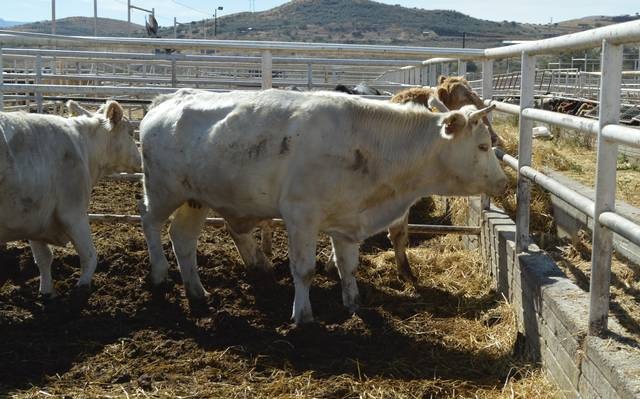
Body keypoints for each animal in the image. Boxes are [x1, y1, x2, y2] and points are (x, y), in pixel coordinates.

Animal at [0, 101, 141, 298]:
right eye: (130, 132)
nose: (140, 159)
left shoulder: (34, 218)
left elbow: (43, 258)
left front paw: (46, 292)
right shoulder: (73, 213)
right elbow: (89, 255)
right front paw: (81, 288)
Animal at [140, 89, 504, 324]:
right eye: (483, 145)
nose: (502, 182)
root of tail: (167, 100)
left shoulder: (348, 220)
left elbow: (348, 267)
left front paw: (353, 304)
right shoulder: (300, 216)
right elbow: (304, 269)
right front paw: (303, 316)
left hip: (195, 198)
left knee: (182, 238)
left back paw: (197, 292)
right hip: (161, 190)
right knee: (149, 222)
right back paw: (159, 274)